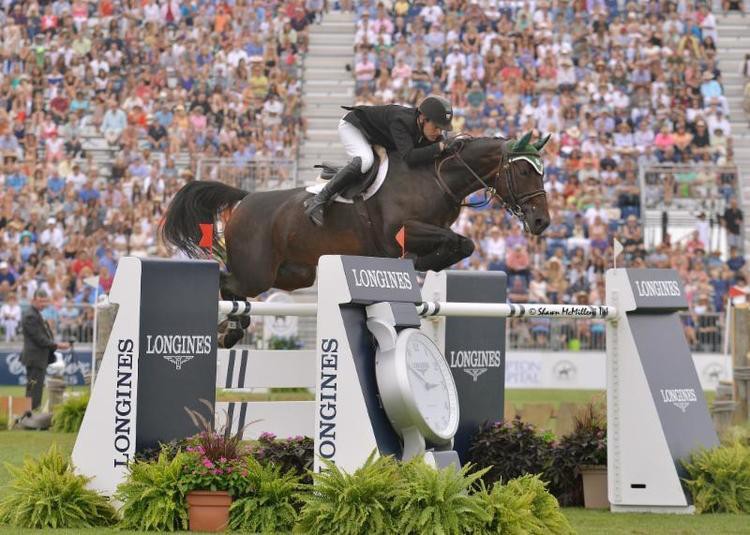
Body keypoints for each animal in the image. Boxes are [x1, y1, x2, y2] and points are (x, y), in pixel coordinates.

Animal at [163, 131, 552, 344]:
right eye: (522, 171)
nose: (541, 221)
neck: (437, 177)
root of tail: (246, 198)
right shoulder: (401, 232)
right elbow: (455, 242)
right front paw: (419, 265)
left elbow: (462, 244)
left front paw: (424, 269)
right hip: (257, 272)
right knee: (228, 281)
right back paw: (230, 329)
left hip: (293, 274)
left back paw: (229, 328)